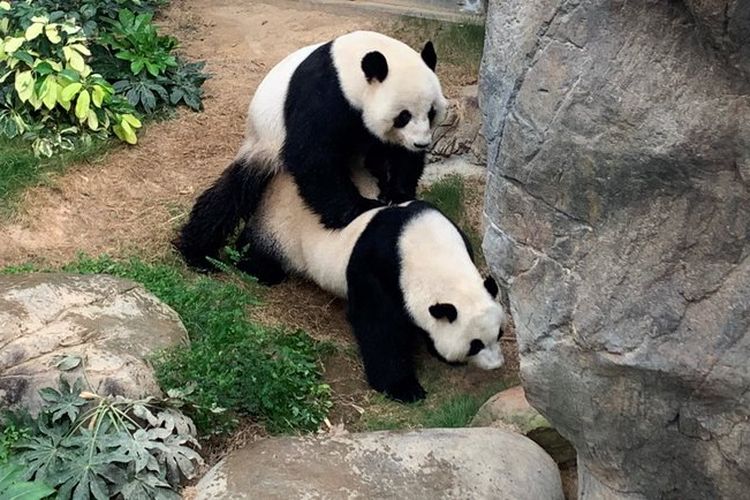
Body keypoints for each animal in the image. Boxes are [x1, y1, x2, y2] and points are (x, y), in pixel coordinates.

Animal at [173, 30, 450, 274]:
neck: (349, 69)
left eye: (431, 112)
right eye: (403, 116)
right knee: (231, 195)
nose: (421, 143)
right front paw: (359, 207)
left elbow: (398, 155)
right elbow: (312, 156)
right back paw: (198, 254)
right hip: (263, 144)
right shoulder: (323, 94)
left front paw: (397, 193)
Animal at [244, 171, 508, 402]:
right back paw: (259, 270)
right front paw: (404, 389)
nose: (496, 365)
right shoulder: (377, 267)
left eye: (499, 334)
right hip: (282, 228)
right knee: (260, 249)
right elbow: (378, 326)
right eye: (475, 345)